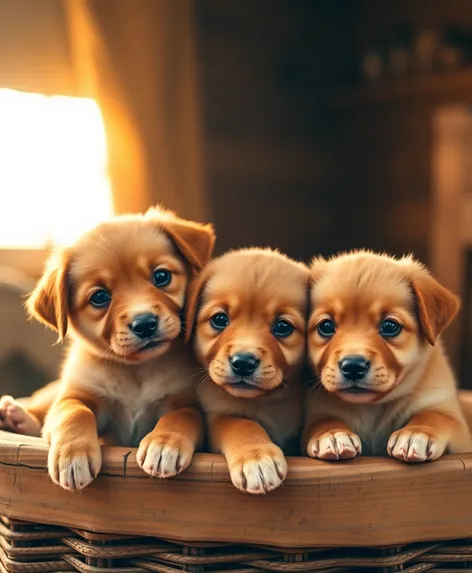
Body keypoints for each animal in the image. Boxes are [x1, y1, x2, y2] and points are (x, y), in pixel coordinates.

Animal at [7, 208, 215, 490]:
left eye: (161, 276)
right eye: (99, 297)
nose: (144, 323)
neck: (137, 372)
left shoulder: (187, 401)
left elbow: (180, 416)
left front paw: (165, 444)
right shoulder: (74, 395)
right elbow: (73, 413)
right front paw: (72, 455)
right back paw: (14, 415)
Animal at [184, 248, 310, 494]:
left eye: (283, 326)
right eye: (219, 319)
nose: (242, 362)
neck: (270, 401)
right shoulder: (218, 415)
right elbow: (241, 423)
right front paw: (257, 457)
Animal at [302, 250, 472, 460]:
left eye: (390, 326)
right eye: (326, 326)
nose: (353, 366)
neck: (373, 409)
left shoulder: (451, 419)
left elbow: (434, 417)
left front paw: (416, 433)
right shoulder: (320, 410)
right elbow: (324, 420)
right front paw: (332, 434)